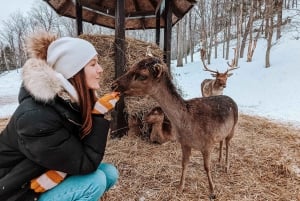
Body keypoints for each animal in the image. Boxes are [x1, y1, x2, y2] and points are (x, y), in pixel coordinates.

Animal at [112, 55, 239, 199]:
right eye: (132, 66)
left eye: (142, 75)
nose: (114, 85)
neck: (187, 124)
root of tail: (232, 99)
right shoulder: (184, 143)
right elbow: (184, 163)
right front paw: (180, 187)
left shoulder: (207, 144)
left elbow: (207, 167)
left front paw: (212, 192)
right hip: (222, 132)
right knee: (222, 141)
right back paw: (219, 160)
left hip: (233, 128)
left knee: (228, 144)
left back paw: (226, 167)